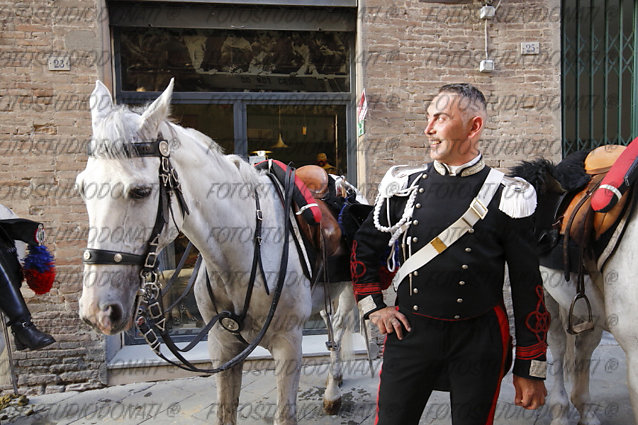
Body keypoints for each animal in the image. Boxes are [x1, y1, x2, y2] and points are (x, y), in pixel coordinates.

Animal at [77, 79, 358, 424]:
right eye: (82, 188)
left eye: (140, 191)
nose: (97, 310)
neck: (241, 250)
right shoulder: (222, 347)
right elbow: (226, 410)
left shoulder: (289, 346)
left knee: (341, 326)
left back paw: (332, 391)